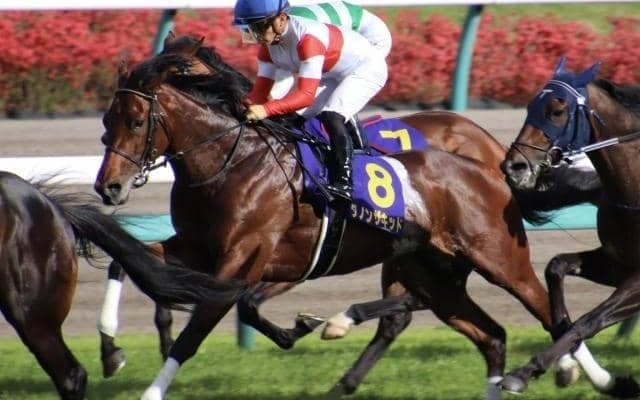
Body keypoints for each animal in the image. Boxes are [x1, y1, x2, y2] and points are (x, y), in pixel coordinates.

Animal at [93, 45, 601, 400]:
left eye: (135, 121)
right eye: (105, 123)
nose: (108, 187)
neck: (232, 160)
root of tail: (494, 165)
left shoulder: (245, 259)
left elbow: (201, 328)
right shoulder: (200, 249)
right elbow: (126, 262)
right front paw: (111, 352)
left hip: (498, 258)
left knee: (546, 309)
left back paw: (581, 372)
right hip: (431, 271)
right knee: (483, 333)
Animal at [500, 57, 640, 398]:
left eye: (556, 111)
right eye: (529, 106)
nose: (514, 166)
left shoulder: (639, 278)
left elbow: (589, 320)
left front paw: (523, 372)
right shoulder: (617, 263)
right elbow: (556, 267)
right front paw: (566, 364)